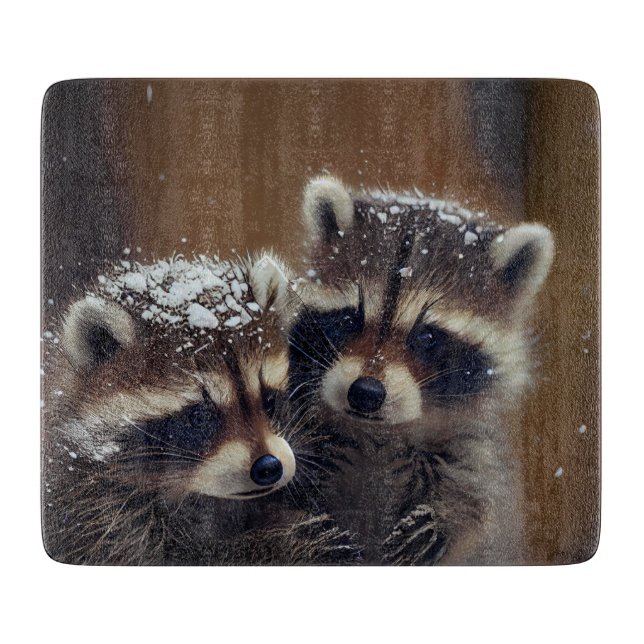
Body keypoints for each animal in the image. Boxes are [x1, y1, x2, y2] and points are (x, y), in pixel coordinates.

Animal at [287, 176, 554, 564]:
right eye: (350, 319)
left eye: (427, 336)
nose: (365, 393)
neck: (381, 436)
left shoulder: (471, 449)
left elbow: (479, 499)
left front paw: (448, 516)